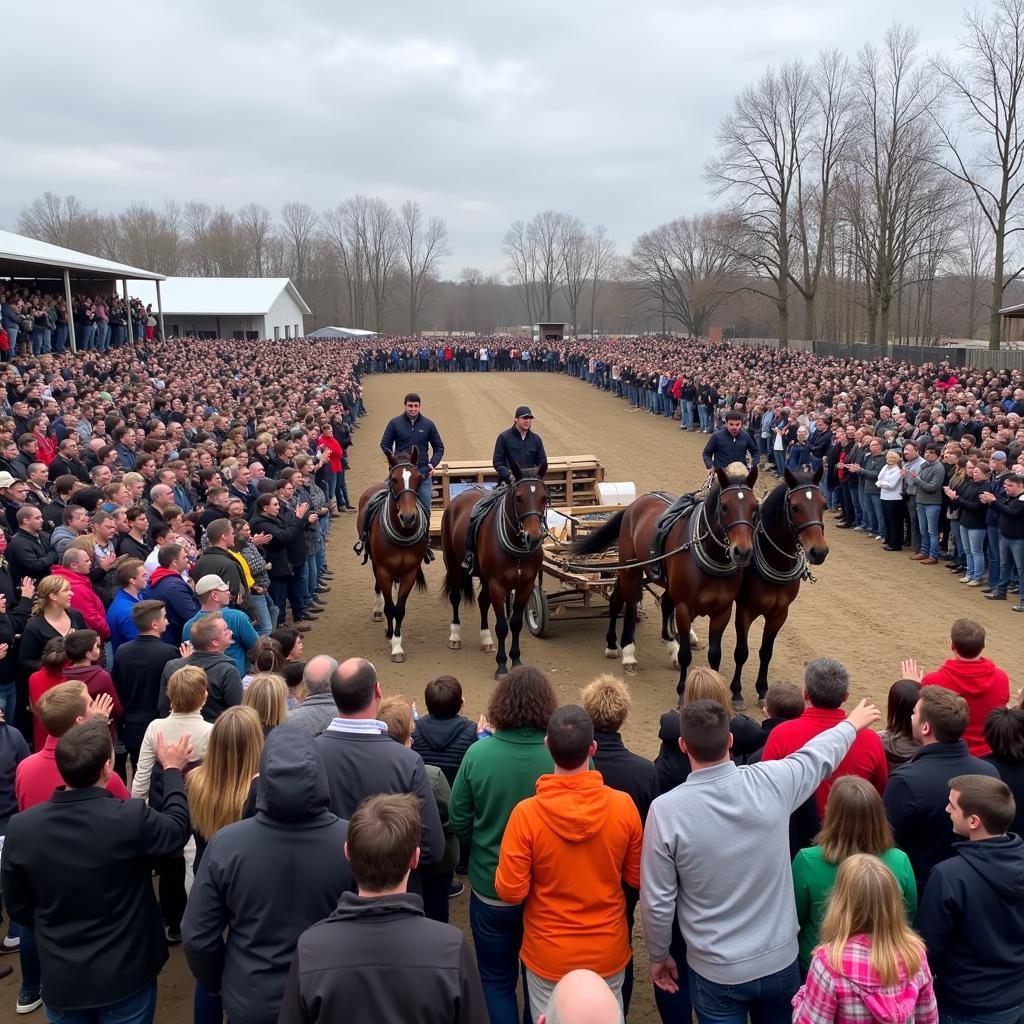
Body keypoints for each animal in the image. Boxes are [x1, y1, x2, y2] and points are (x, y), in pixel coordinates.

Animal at [356, 448, 428, 663]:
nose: (408, 517)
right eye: (395, 479)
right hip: (373, 561)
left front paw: (397, 642)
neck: (402, 533)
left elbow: (400, 608)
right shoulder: (384, 570)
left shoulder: (410, 572)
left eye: (418, 478)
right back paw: (377, 610)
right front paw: (392, 639)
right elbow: (390, 607)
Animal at [442, 460, 552, 675]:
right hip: (454, 565)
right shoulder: (497, 585)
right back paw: (454, 636)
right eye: (519, 498)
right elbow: (502, 626)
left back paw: (486, 639)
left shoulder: (525, 584)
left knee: (483, 602)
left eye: (544, 497)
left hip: (484, 577)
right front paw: (501, 665)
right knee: (455, 597)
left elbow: (515, 623)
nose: (534, 537)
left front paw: (515, 660)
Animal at [573, 466, 757, 692]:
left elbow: (715, 655)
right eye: (724, 507)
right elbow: (686, 654)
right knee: (630, 603)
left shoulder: (723, 610)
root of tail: (636, 503)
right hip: (631, 569)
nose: (743, 551)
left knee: (643, 601)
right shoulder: (685, 607)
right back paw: (625, 651)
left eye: (755, 507)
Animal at [733, 464, 827, 704]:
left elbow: (766, 651)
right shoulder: (744, 609)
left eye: (824, 504)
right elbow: (742, 651)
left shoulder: (779, 613)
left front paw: (762, 689)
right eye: (795, 507)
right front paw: (736, 691)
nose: (819, 551)